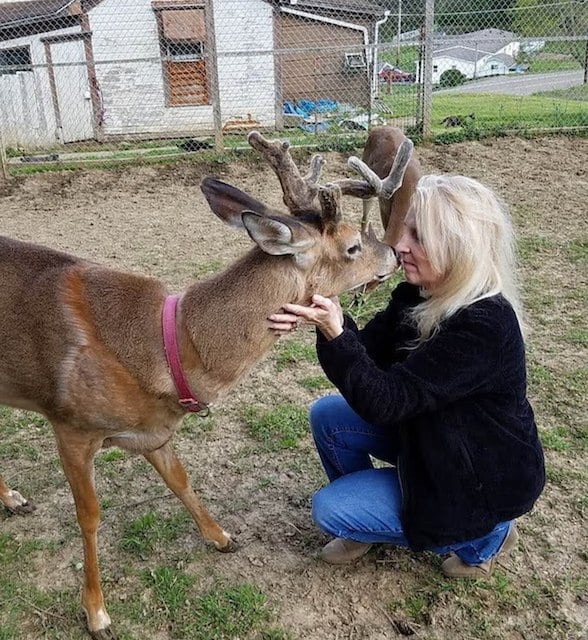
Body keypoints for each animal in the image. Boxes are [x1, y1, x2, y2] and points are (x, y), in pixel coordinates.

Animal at [0, 131, 414, 640]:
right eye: (354, 245)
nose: (393, 253)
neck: (168, 348)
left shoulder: (155, 431)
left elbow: (181, 481)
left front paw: (222, 538)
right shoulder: (71, 425)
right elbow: (90, 515)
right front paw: (96, 612)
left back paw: (12, 499)